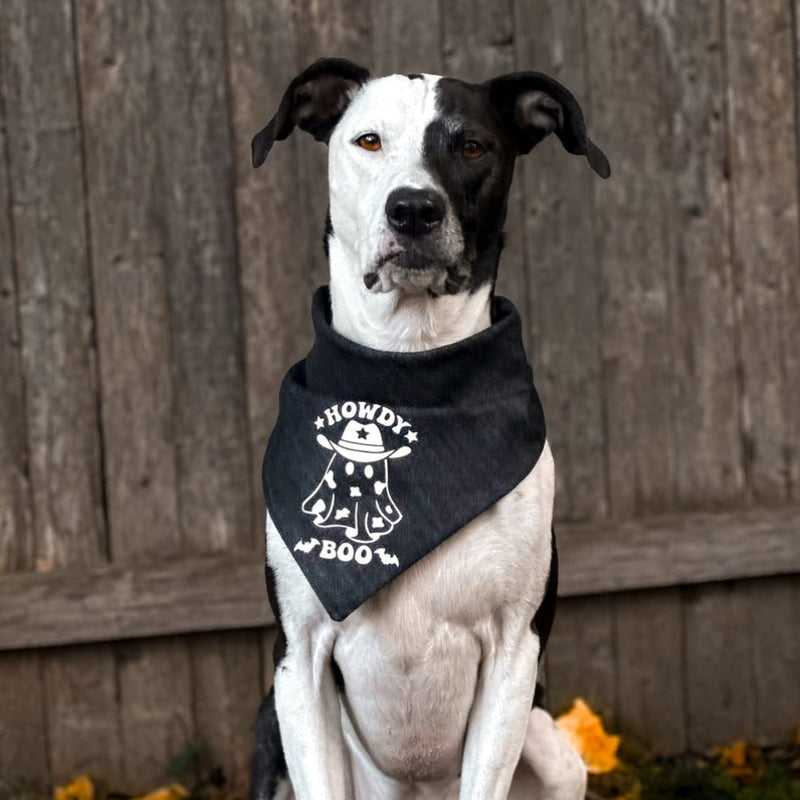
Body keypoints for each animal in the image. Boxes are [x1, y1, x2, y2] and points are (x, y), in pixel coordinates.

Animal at [248, 57, 608, 800]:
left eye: (471, 146)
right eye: (368, 141)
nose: (413, 208)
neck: (410, 370)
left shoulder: (513, 657)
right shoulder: (298, 662)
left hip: (553, 751)